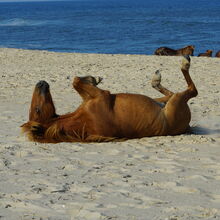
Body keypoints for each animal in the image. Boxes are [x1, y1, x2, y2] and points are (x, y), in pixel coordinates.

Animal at [21, 55, 198, 144]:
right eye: (37, 109)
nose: (41, 83)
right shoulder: (102, 95)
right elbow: (76, 81)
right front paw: (93, 78)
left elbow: (76, 81)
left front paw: (93, 78)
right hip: (177, 102)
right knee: (192, 90)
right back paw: (184, 62)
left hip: (166, 99)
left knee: (168, 93)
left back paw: (156, 79)